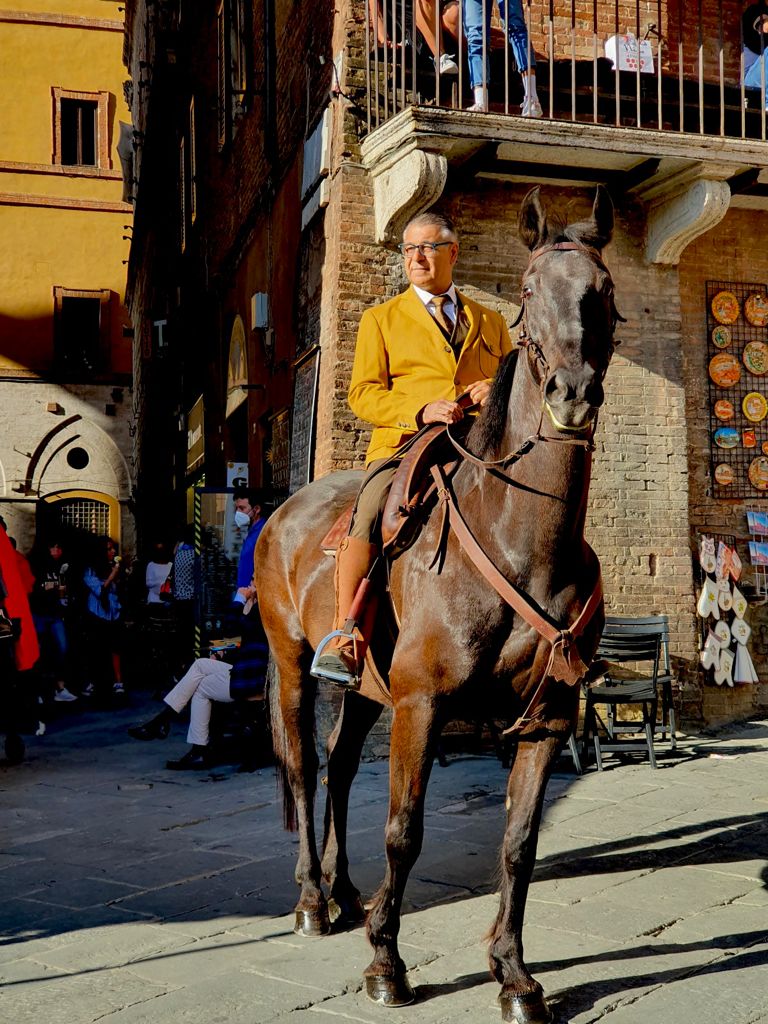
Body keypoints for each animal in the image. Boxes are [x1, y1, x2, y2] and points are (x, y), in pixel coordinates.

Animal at [256, 186, 622, 1024]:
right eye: (528, 291)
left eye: (604, 289)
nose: (573, 394)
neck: (519, 538)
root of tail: (283, 512)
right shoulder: (421, 705)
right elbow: (405, 831)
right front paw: (386, 964)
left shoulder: (546, 720)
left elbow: (518, 844)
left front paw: (514, 976)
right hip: (292, 663)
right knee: (305, 768)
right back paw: (312, 900)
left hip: (367, 690)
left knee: (340, 766)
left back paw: (346, 892)